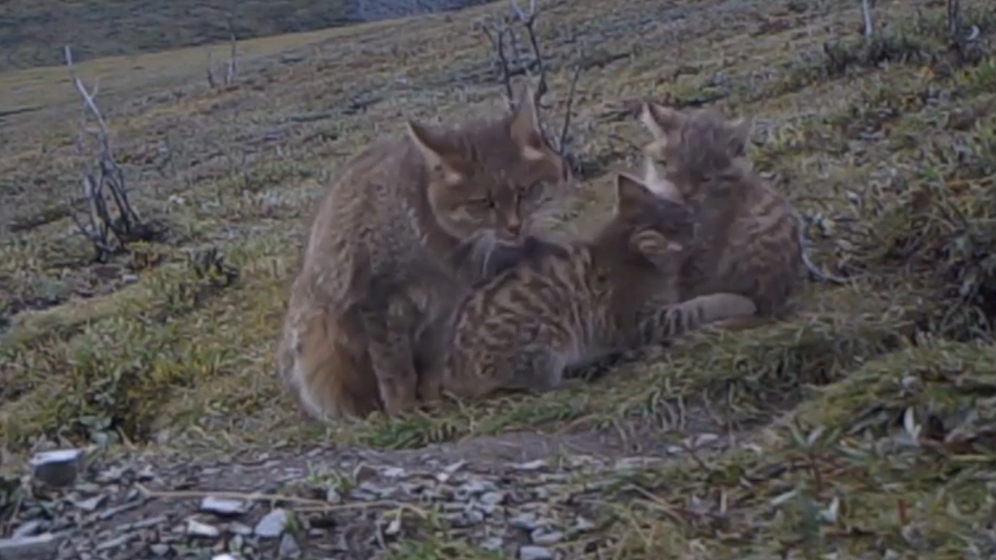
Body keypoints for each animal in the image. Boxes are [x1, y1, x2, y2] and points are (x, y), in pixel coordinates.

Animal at [278, 85, 576, 420]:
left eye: (527, 191)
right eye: (482, 204)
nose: (515, 227)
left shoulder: (445, 310)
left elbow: (431, 368)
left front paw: (434, 402)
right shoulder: (377, 301)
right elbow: (395, 369)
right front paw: (403, 410)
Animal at [416, 172, 760, 402]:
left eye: (686, 216)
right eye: (683, 224)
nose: (697, 222)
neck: (625, 250)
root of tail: (453, 373)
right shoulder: (639, 322)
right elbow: (695, 307)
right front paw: (737, 301)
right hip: (547, 336)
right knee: (533, 384)